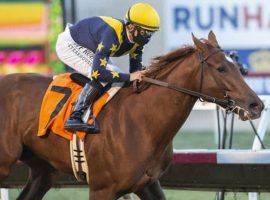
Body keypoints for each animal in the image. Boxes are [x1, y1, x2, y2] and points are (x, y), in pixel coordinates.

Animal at [0, 31, 264, 198]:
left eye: (235, 65)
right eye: (221, 68)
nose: (256, 105)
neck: (142, 121)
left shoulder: (148, 184)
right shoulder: (101, 189)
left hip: (43, 171)